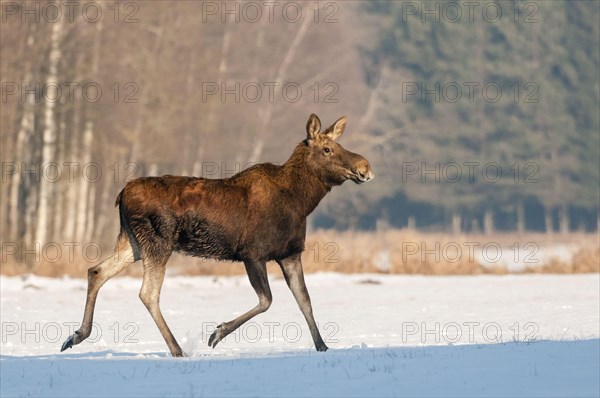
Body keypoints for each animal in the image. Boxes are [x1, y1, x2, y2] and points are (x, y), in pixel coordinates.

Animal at [61, 113, 370, 356]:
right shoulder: (252, 253)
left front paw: (323, 346)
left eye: (339, 144)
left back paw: (76, 335)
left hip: (133, 243)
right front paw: (217, 333)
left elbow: (305, 302)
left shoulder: (290, 254)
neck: (301, 200)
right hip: (158, 242)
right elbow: (267, 300)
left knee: (96, 271)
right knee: (147, 292)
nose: (364, 167)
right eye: (327, 149)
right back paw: (177, 349)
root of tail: (121, 195)